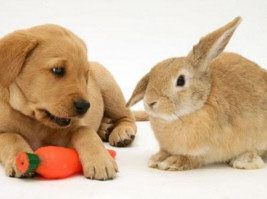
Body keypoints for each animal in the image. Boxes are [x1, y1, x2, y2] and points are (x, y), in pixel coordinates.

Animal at [0, 24, 137, 180]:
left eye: (85, 75)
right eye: (58, 70)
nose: (85, 106)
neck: (35, 121)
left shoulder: (74, 127)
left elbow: (84, 131)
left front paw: (100, 160)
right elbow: (11, 136)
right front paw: (19, 158)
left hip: (108, 86)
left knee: (128, 116)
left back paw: (122, 132)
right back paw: (105, 128)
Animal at [126, 16, 267, 171]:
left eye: (181, 80)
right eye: (152, 76)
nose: (150, 102)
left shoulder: (207, 152)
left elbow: (192, 159)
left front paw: (172, 162)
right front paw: (157, 158)